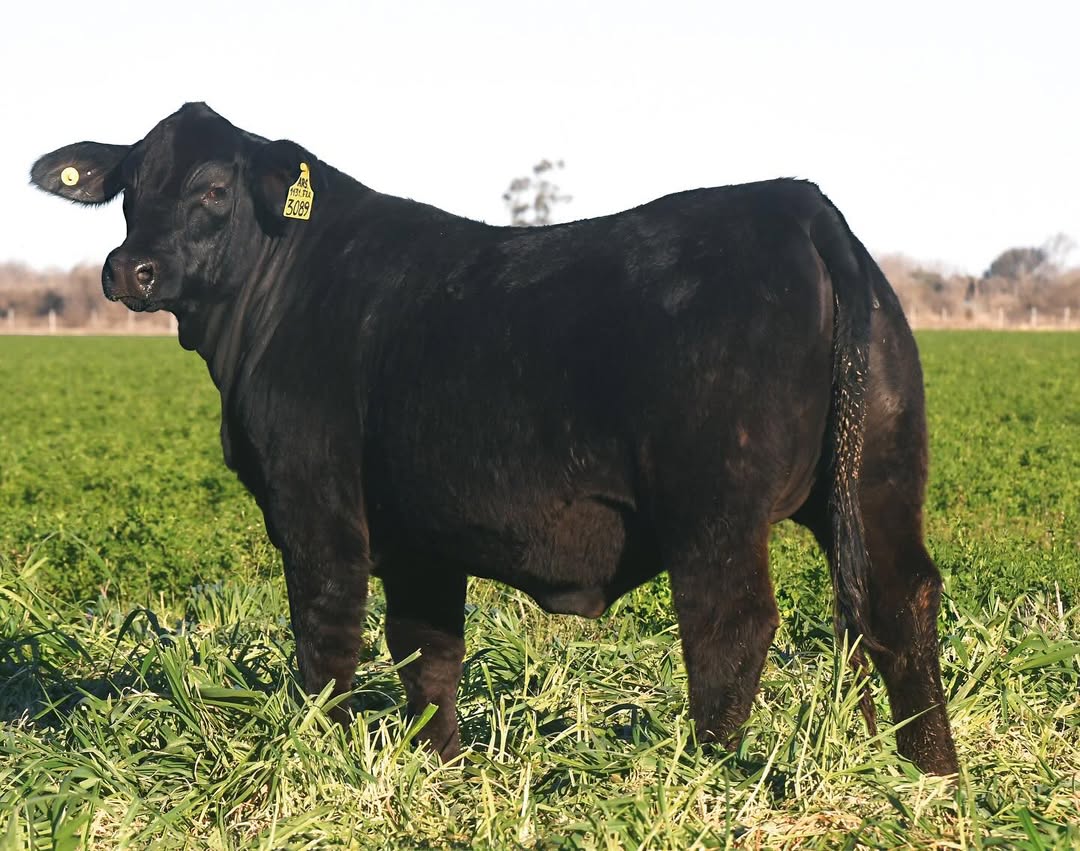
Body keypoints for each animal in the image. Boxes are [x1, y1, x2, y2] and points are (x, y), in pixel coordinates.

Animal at [31, 103, 958, 775]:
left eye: (215, 190)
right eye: (128, 185)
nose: (129, 269)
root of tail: (794, 202)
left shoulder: (314, 506)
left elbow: (326, 640)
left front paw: (313, 757)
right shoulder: (421, 531)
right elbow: (428, 652)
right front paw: (439, 767)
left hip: (713, 508)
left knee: (731, 626)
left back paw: (707, 778)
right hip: (879, 477)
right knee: (902, 601)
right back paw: (930, 777)